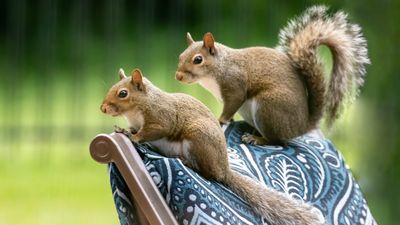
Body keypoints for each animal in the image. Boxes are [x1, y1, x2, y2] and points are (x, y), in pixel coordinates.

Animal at [100, 68, 324, 225]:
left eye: (122, 93)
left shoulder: (161, 118)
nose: (102, 108)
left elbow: (151, 132)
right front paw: (122, 129)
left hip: (198, 139)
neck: (139, 108)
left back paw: (188, 162)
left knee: (210, 174)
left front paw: (132, 136)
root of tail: (223, 167)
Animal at [177, 5, 370, 146]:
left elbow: (231, 105)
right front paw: (228, 119)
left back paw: (256, 138)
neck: (217, 69)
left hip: (268, 108)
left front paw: (220, 121)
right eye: (180, 56)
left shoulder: (234, 85)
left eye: (198, 60)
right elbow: (229, 111)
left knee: (275, 140)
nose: (178, 77)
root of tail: (301, 126)